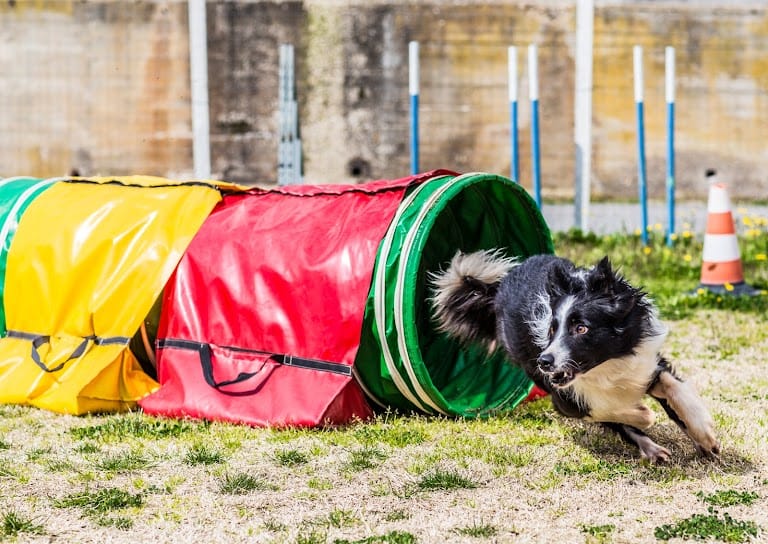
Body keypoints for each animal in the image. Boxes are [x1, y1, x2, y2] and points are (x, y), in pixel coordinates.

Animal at [432, 252, 720, 464]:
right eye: (552, 329)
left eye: (581, 328)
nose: (544, 361)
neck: (606, 364)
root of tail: (500, 285)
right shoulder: (564, 398)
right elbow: (603, 409)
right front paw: (643, 414)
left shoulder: (644, 362)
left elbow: (674, 389)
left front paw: (705, 436)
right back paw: (651, 446)